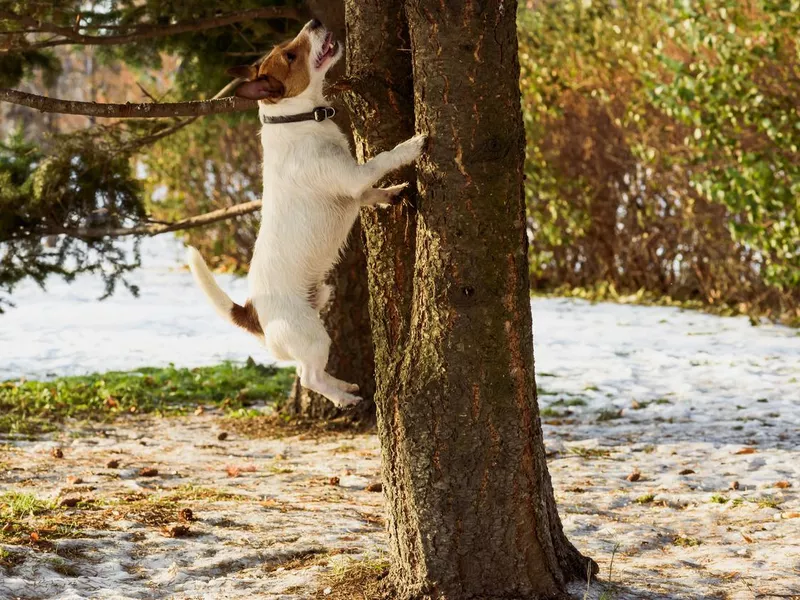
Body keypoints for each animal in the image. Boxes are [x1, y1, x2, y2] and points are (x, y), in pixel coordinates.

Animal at [188, 21, 428, 410]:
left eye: (284, 46)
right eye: (290, 55)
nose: (313, 24)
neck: (296, 119)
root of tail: (251, 312)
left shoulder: (355, 188)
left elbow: (371, 193)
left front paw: (391, 194)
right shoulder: (353, 176)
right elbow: (382, 160)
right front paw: (412, 145)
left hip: (321, 305)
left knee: (306, 369)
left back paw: (344, 386)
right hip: (311, 335)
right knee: (308, 376)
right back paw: (344, 398)